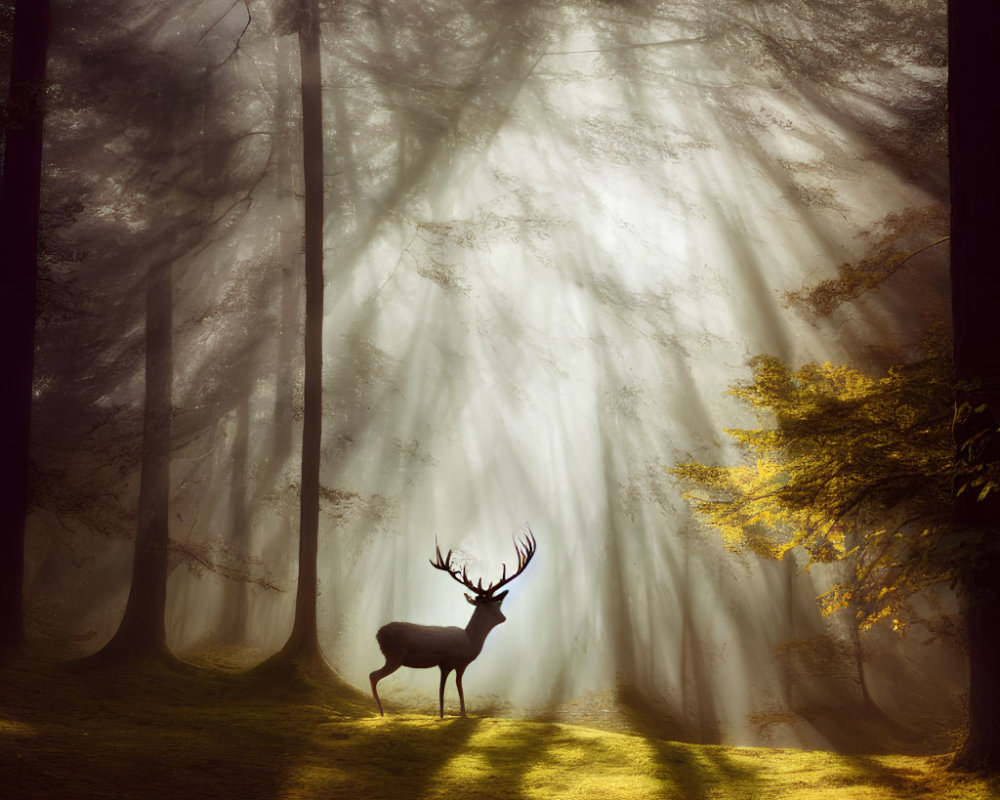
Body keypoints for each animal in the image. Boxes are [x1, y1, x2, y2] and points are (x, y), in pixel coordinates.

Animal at [370, 528, 540, 720]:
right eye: (493, 602)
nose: (503, 618)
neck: (470, 640)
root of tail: (378, 634)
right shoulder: (447, 661)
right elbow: (445, 689)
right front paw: (447, 715)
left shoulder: (457, 664)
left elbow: (456, 685)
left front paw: (460, 714)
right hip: (394, 656)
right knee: (373, 675)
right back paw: (381, 712)